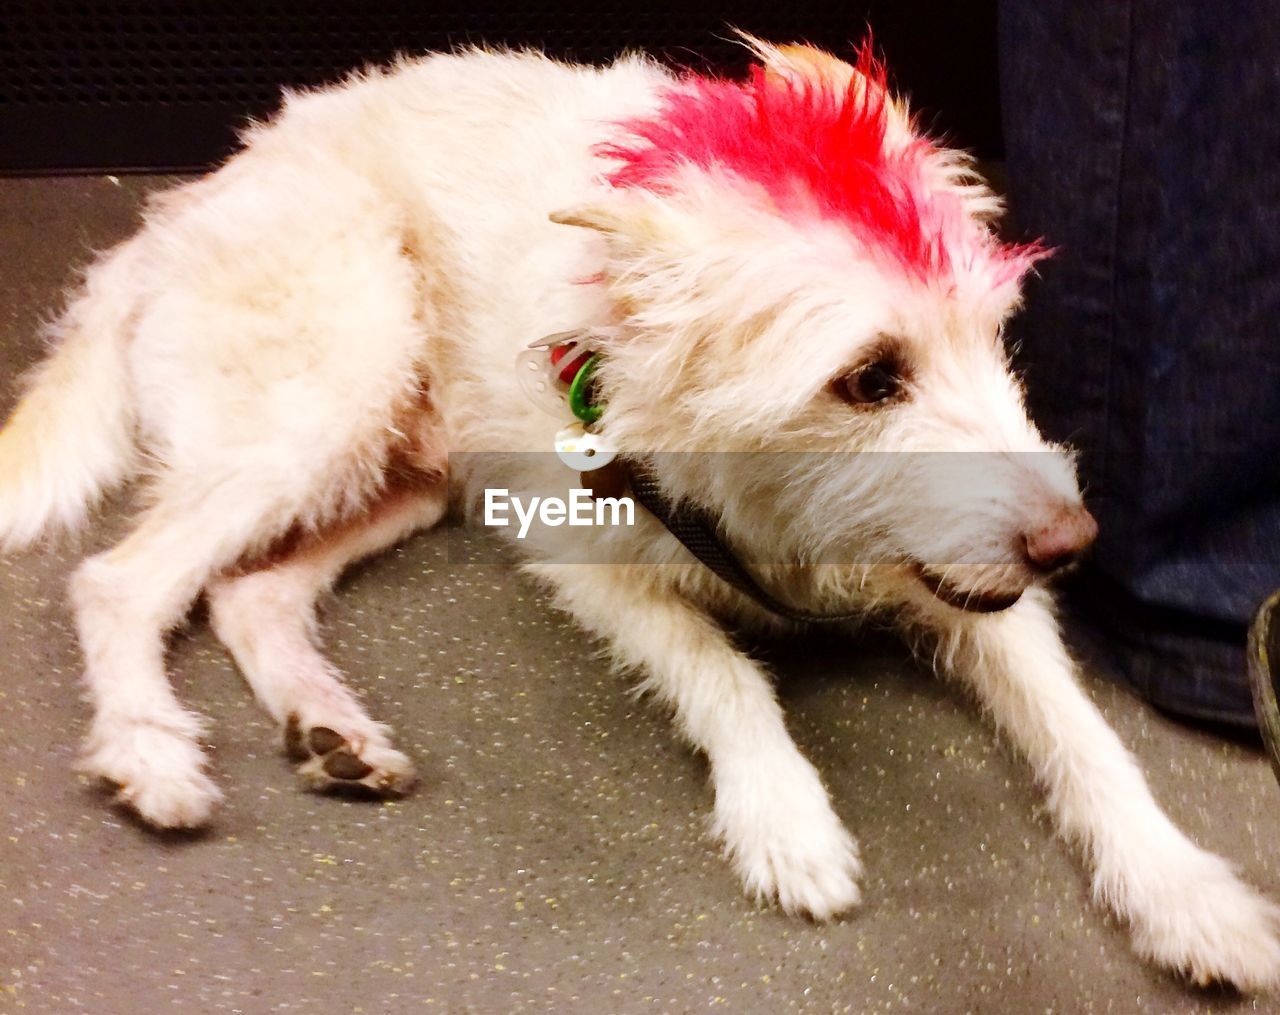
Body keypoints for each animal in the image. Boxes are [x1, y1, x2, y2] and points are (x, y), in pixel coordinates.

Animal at [2, 39, 1280, 988]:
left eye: (992, 333)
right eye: (868, 376)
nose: (1072, 545)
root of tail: (178, 207)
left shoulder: (971, 588)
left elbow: (1084, 733)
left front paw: (1182, 892)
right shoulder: (581, 554)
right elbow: (718, 667)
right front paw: (782, 813)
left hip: (398, 469)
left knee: (247, 590)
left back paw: (330, 729)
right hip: (330, 388)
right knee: (122, 579)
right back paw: (149, 744)